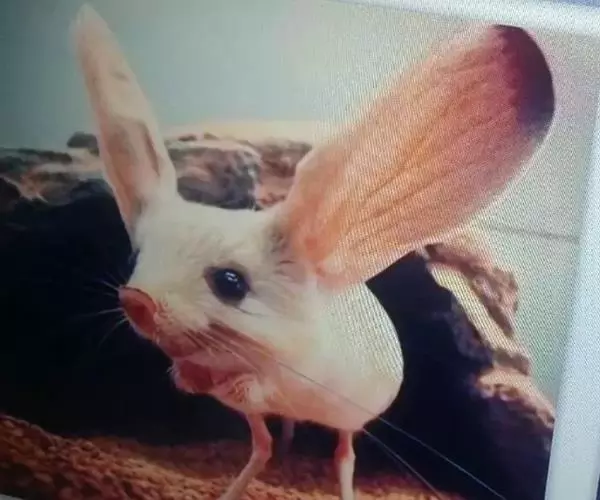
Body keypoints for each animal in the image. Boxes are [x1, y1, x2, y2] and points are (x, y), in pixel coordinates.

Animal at [72, 5, 554, 500]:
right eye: (135, 260)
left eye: (230, 283)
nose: (136, 301)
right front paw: (188, 377)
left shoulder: (282, 378)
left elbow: (254, 387)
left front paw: (212, 377)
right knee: (263, 447)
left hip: (349, 418)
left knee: (343, 455)